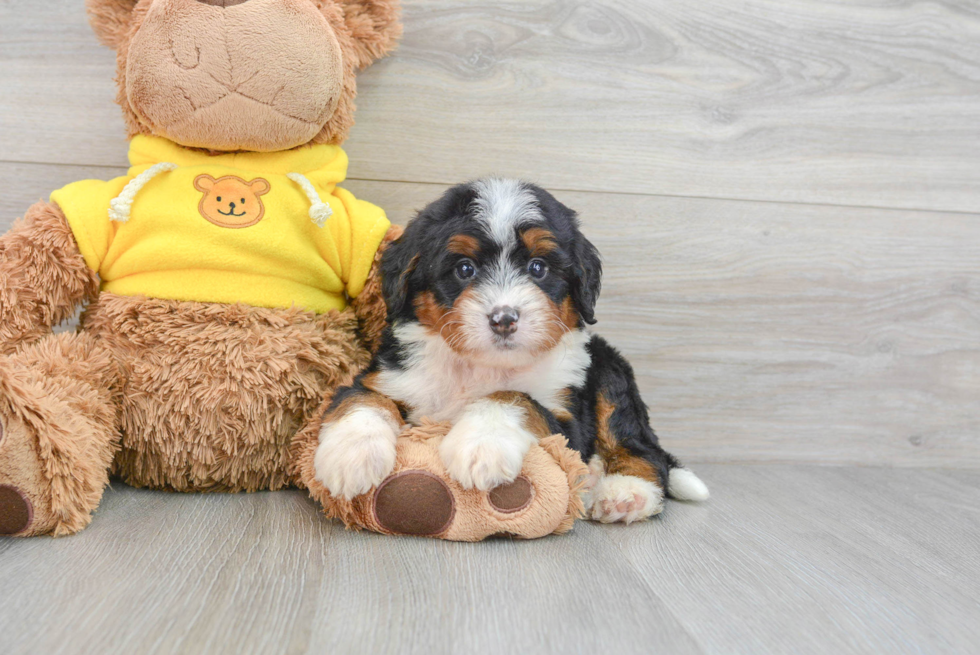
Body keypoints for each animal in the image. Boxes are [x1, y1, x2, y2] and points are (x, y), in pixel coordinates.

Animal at [318, 178, 708, 524]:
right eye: (464, 268)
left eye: (538, 268)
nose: (503, 319)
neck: (481, 366)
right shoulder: (390, 376)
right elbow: (363, 398)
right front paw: (351, 453)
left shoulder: (569, 423)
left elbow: (515, 396)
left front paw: (482, 445)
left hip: (610, 373)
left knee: (640, 446)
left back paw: (624, 492)